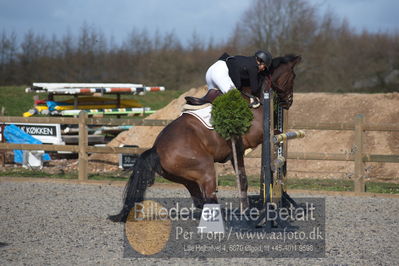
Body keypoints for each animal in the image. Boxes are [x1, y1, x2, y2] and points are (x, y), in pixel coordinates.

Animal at [108, 54, 302, 222]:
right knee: (208, 195)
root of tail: (156, 150)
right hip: (205, 169)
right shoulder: (254, 138)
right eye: (293, 76)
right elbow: (272, 140)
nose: (289, 102)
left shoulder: (237, 152)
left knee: (200, 200)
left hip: (187, 178)